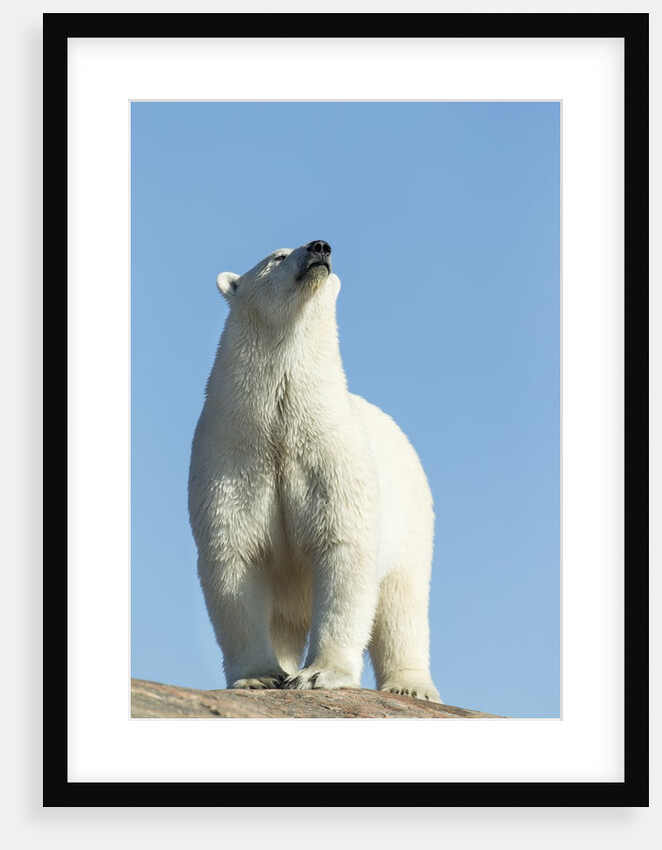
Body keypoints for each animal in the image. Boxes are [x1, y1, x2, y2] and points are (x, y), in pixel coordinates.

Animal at [188, 240, 441, 702]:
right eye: (277, 256)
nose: (320, 247)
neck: (279, 428)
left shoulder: (332, 464)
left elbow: (344, 554)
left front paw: (319, 674)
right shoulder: (232, 461)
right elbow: (234, 559)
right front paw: (259, 676)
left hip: (412, 519)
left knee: (403, 600)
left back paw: (411, 686)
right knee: (285, 622)